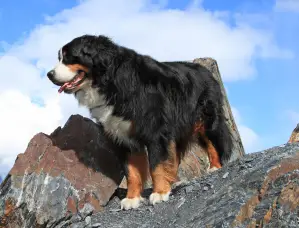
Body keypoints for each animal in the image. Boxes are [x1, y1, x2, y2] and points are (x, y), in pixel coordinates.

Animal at [47, 34, 234, 211]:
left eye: (68, 57)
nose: (49, 75)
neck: (110, 81)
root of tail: (205, 71)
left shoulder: (155, 131)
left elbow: (156, 165)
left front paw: (159, 193)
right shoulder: (122, 136)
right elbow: (132, 172)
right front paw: (132, 199)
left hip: (206, 119)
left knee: (213, 142)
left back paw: (215, 167)